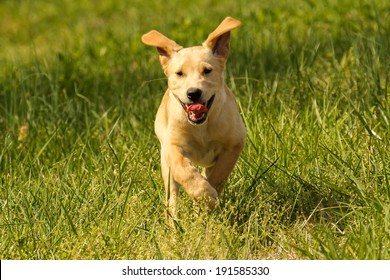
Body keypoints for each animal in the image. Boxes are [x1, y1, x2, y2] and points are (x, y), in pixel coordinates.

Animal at [142, 17, 245, 217]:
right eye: (179, 73)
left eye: (207, 71)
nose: (193, 93)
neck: (201, 127)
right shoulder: (172, 147)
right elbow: (184, 171)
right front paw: (205, 196)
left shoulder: (234, 143)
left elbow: (218, 174)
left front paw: (207, 200)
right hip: (165, 165)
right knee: (172, 195)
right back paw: (173, 221)